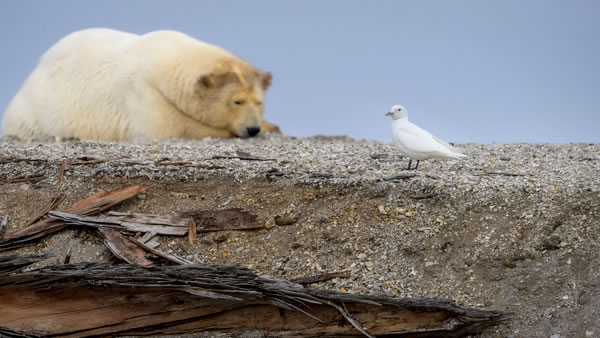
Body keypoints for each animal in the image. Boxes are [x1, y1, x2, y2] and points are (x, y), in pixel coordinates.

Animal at [1, 28, 278, 141]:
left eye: (259, 102)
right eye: (236, 101)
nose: (252, 128)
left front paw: (271, 125)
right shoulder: (144, 94)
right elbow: (171, 128)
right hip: (33, 111)